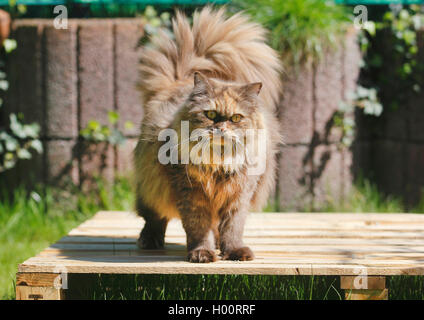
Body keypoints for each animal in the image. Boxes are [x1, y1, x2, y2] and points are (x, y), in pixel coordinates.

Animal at [134, 6, 284, 262]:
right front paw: (202, 253)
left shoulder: (238, 196)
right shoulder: (191, 194)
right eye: (211, 114)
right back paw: (151, 241)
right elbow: (197, 227)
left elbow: (232, 228)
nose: (221, 127)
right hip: (151, 186)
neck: (219, 163)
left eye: (236, 118)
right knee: (154, 217)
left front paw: (234, 251)